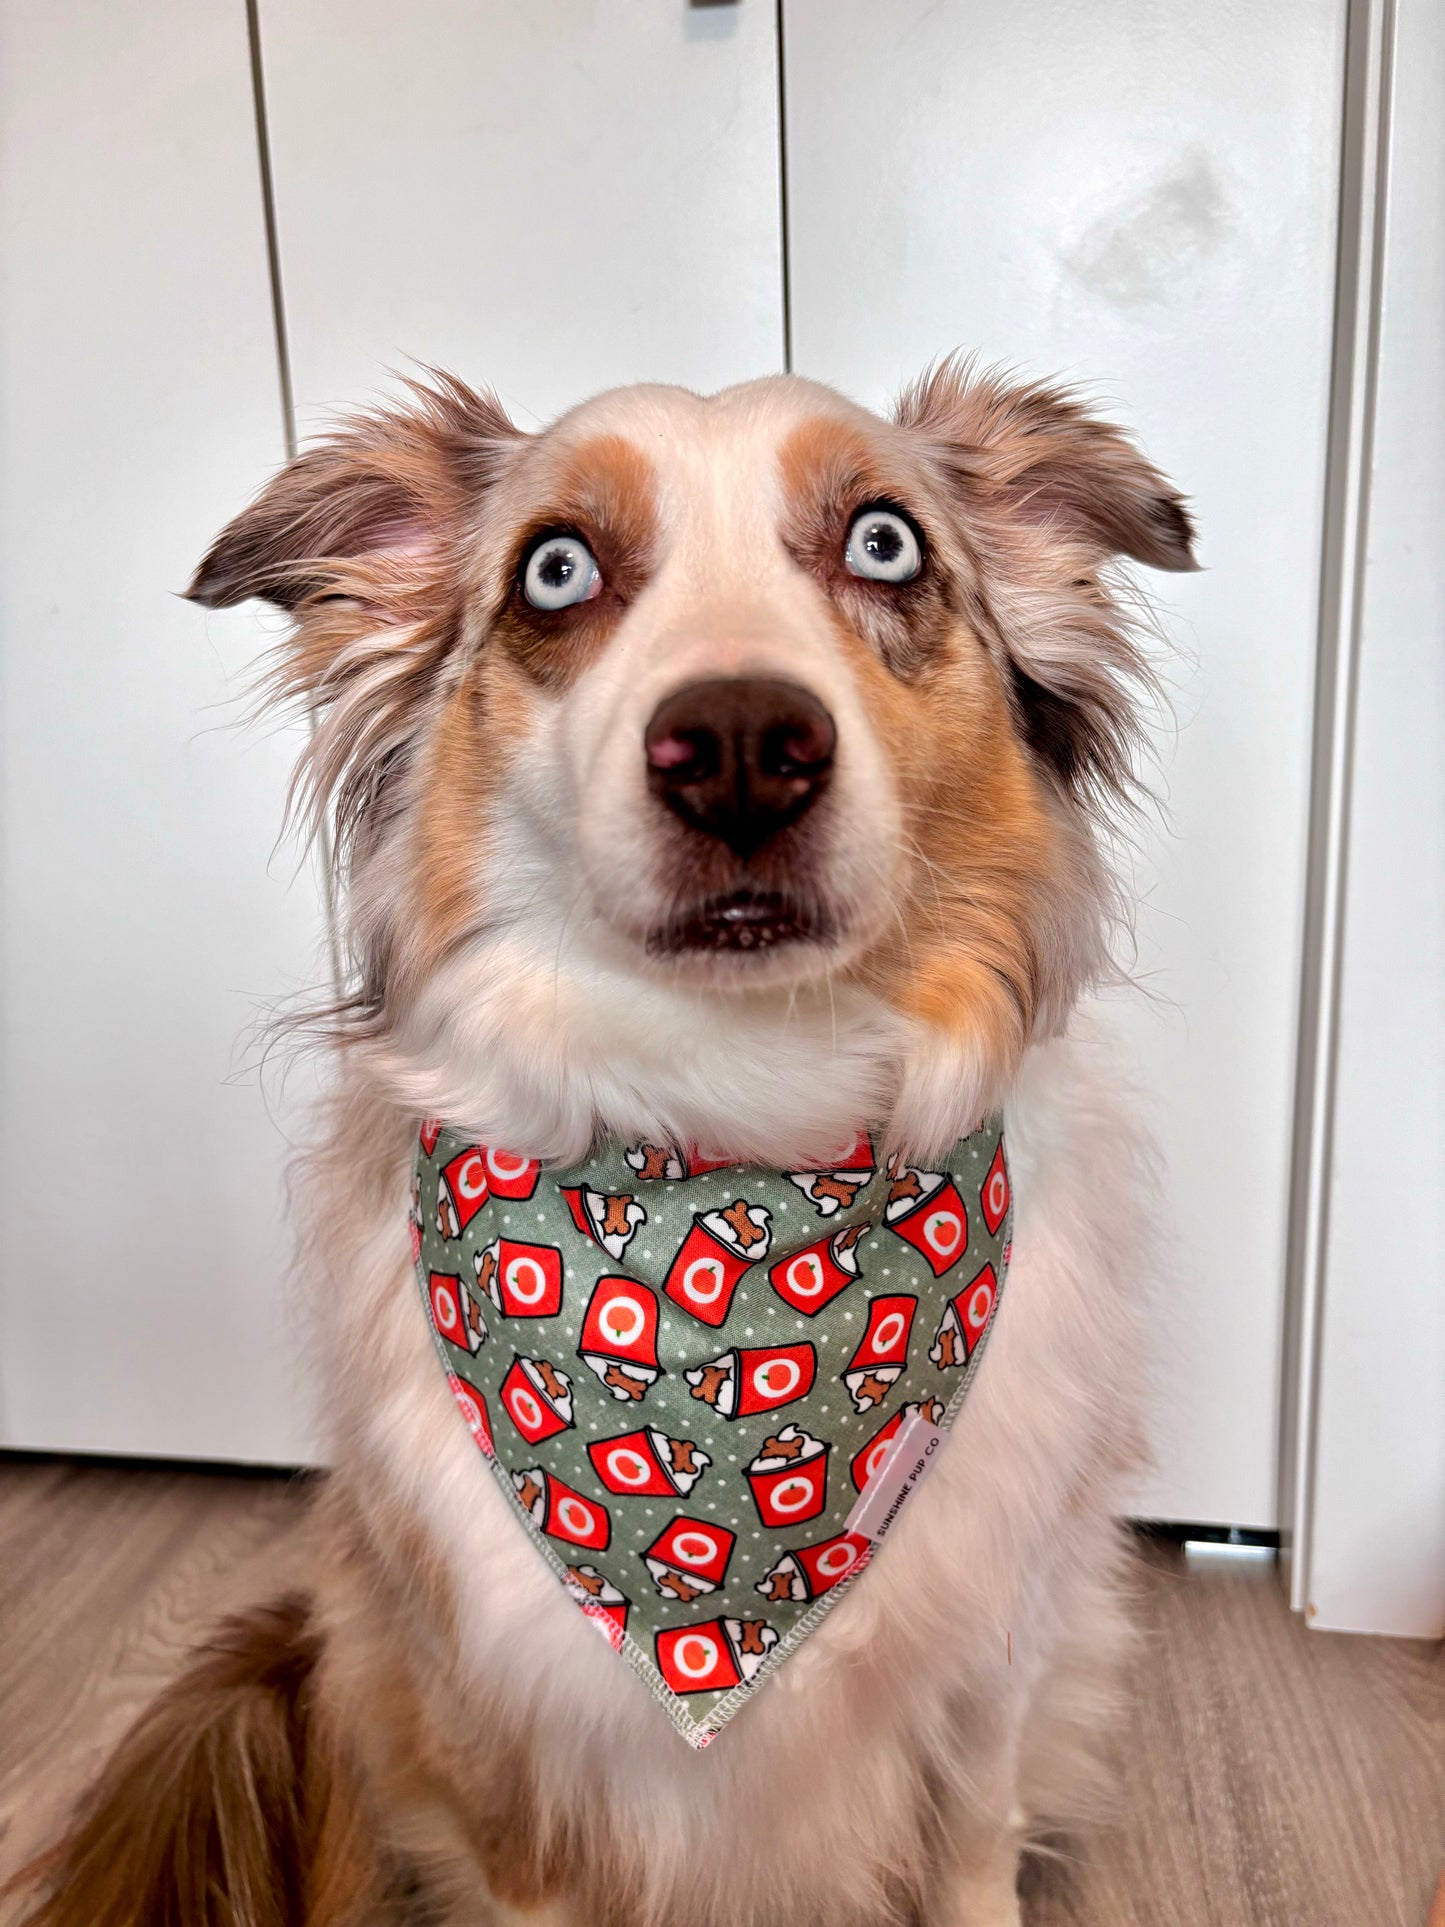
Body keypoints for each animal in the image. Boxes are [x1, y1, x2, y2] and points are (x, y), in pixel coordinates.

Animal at [14, 358, 1202, 1911]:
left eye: (884, 542)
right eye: (556, 568)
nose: (745, 749)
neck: (725, 1135)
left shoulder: (991, 1659)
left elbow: (968, 1853)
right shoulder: (505, 1728)